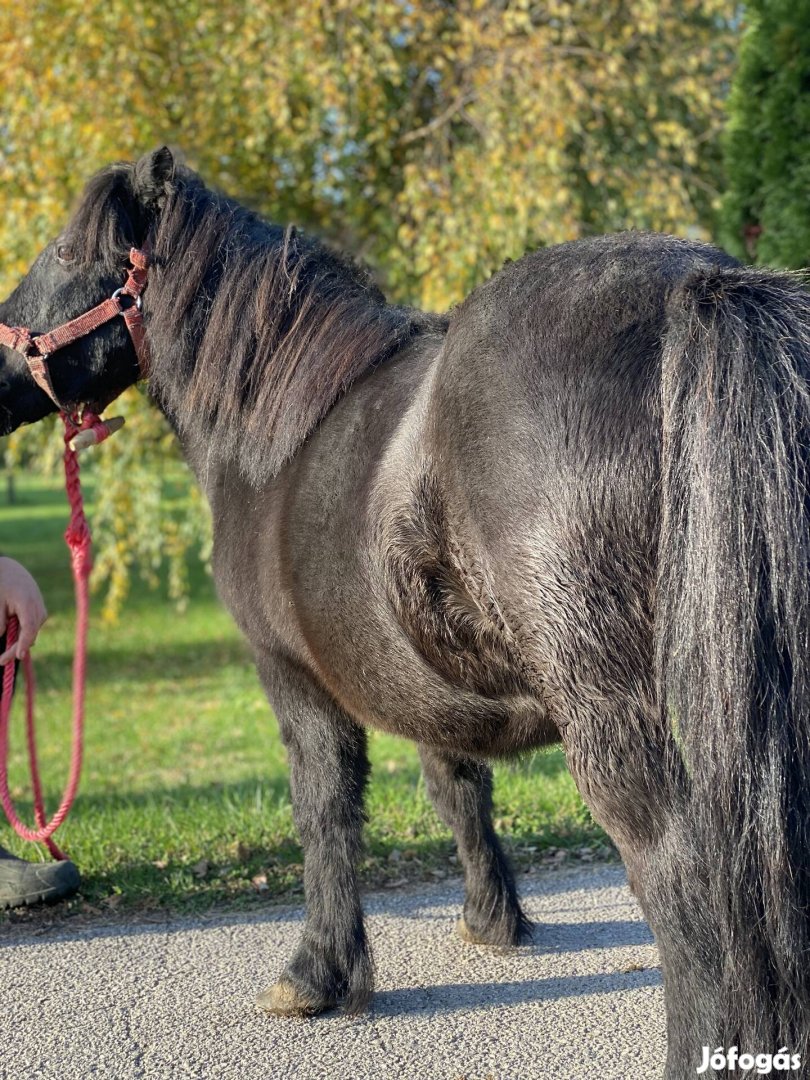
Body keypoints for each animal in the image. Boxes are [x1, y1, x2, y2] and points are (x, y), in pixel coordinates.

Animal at [1, 147, 810, 1075]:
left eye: (68, 253)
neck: (274, 439)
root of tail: (699, 287)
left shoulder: (295, 680)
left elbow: (325, 814)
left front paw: (317, 973)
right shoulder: (423, 678)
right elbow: (457, 788)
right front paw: (493, 920)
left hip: (613, 713)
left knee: (684, 890)